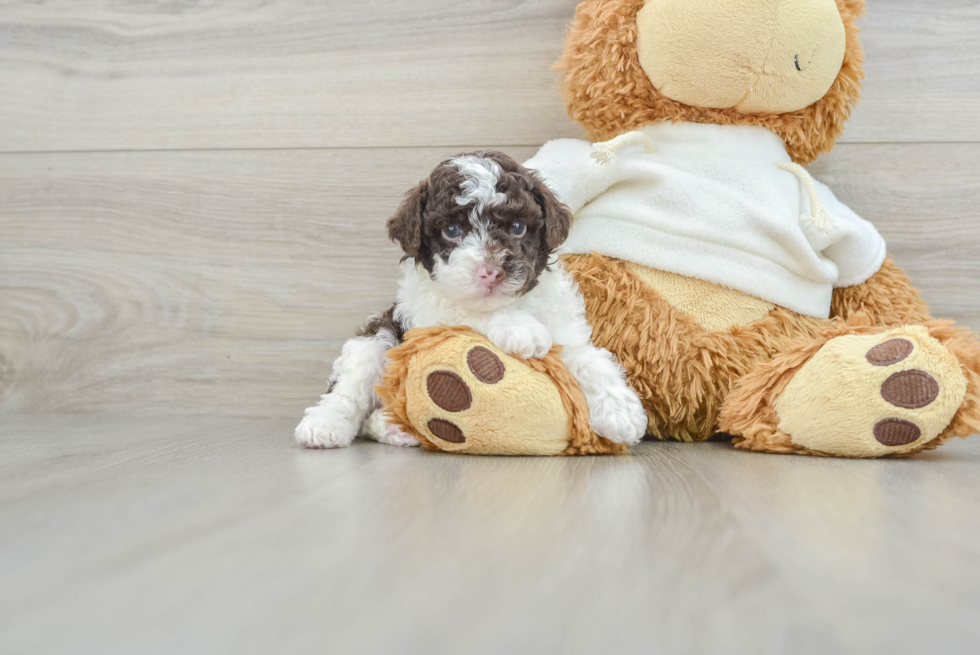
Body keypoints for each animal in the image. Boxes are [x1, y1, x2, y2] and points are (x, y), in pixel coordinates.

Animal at [294, 152, 648, 452]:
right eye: (452, 230)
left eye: (517, 227)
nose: (489, 272)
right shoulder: (428, 311)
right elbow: (466, 311)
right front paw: (519, 328)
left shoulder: (565, 328)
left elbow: (589, 359)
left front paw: (621, 410)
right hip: (376, 338)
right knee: (348, 390)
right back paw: (325, 425)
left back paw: (396, 428)